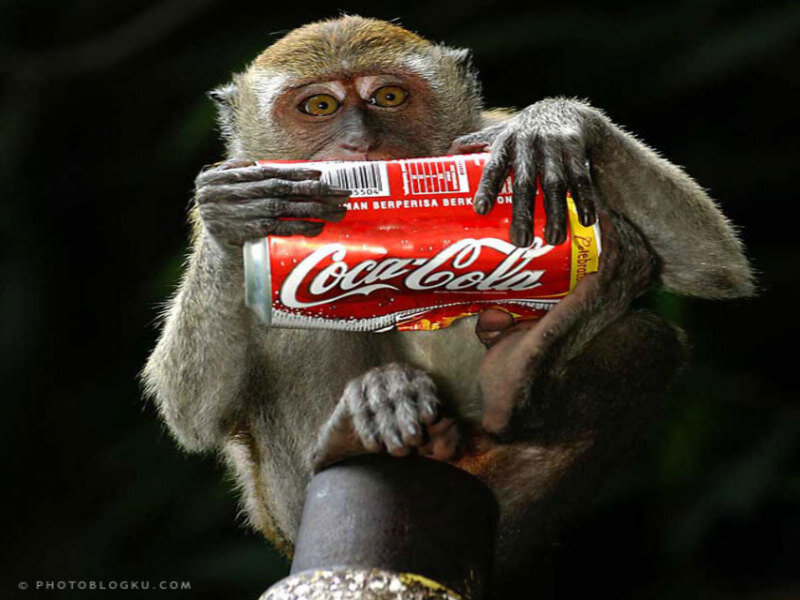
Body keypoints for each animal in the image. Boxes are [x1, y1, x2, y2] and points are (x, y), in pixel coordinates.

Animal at [142, 16, 753, 585]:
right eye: (318, 105)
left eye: (388, 97)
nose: (360, 145)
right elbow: (191, 410)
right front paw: (232, 214)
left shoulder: (489, 139)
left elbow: (710, 262)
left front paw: (557, 122)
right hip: (285, 507)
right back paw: (346, 433)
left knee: (644, 340)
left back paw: (519, 368)